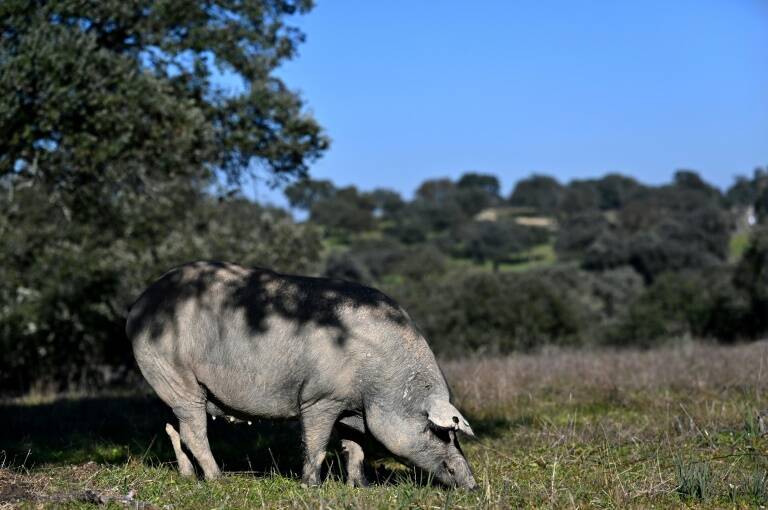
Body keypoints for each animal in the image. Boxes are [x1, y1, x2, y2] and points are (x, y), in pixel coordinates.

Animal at [125, 260, 474, 488]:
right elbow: (316, 443)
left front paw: (360, 486)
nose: (471, 484)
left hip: (171, 386)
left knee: (173, 427)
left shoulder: (352, 410)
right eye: (437, 431)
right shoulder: (320, 398)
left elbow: (355, 447)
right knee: (193, 431)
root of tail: (139, 304)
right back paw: (218, 479)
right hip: (174, 373)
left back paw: (188, 476)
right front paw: (312, 486)